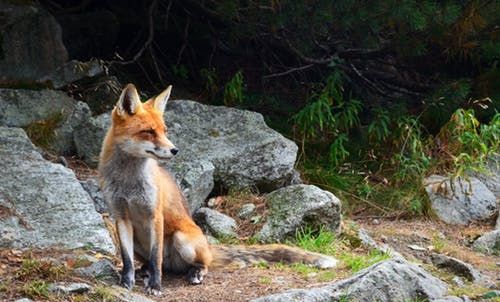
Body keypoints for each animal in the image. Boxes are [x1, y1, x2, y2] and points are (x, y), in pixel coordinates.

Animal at [98, 84, 338, 294]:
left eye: (164, 131)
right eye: (148, 131)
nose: (175, 150)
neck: (128, 183)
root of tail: (207, 246)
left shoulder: (154, 216)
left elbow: (156, 257)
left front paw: (156, 287)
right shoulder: (121, 217)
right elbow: (127, 259)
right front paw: (126, 282)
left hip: (182, 240)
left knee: (192, 264)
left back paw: (194, 273)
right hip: (138, 242)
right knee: (152, 263)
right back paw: (145, 271)